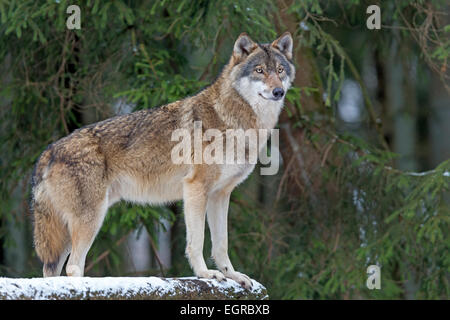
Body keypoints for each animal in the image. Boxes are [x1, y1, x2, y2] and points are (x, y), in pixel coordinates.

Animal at [33, 31, 298, 288]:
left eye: (280, 70)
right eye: (259, 70)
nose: (278, 92)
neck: (233, 120)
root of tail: (49, 151)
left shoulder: (220, 195)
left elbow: (221, 244)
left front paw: (232, 275)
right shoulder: (196, 189)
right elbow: (197, 241)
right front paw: (205, 274)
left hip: (69, 231)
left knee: (52, 271)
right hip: (90, 220)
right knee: (73, 267)